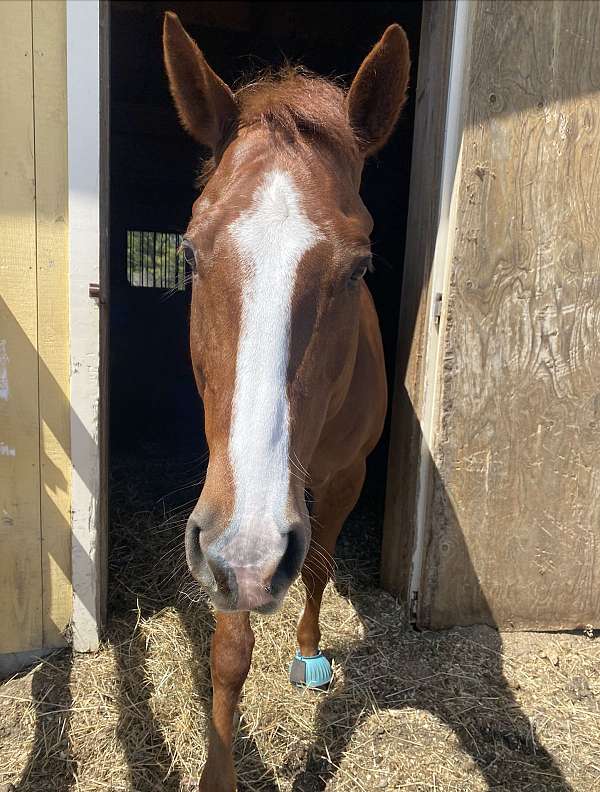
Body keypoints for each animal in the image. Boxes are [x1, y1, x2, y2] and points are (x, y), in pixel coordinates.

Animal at [162, 12, 410, 790]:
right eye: (188, 253)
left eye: (360, 266)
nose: (252, 554)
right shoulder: (226, 509)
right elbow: (228, 650)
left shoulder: (340, 479)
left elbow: (321, 566)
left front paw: (306, 654)